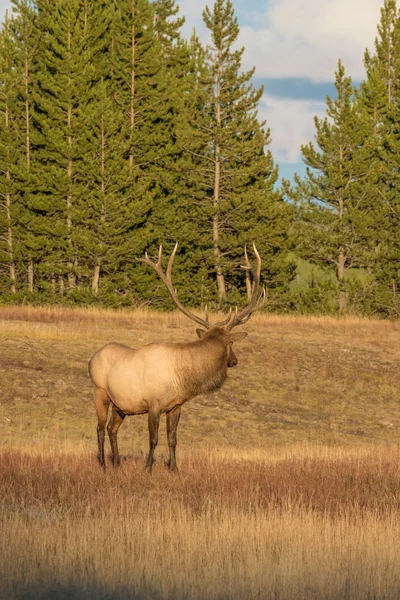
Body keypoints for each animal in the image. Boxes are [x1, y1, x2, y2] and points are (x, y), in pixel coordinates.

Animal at [89, 241, 268, 472]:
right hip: (100, 392)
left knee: (112, 429)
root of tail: (92, 358)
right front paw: (147, 468)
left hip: (120, 405)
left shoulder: (176, 406)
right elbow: (153, 439)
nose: (234, 360)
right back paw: (103, 464)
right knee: (100, 428)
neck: (182, 377)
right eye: (231, 343)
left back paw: (117, 463)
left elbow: (172, 439)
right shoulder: (154, 404)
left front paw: (174, 469)